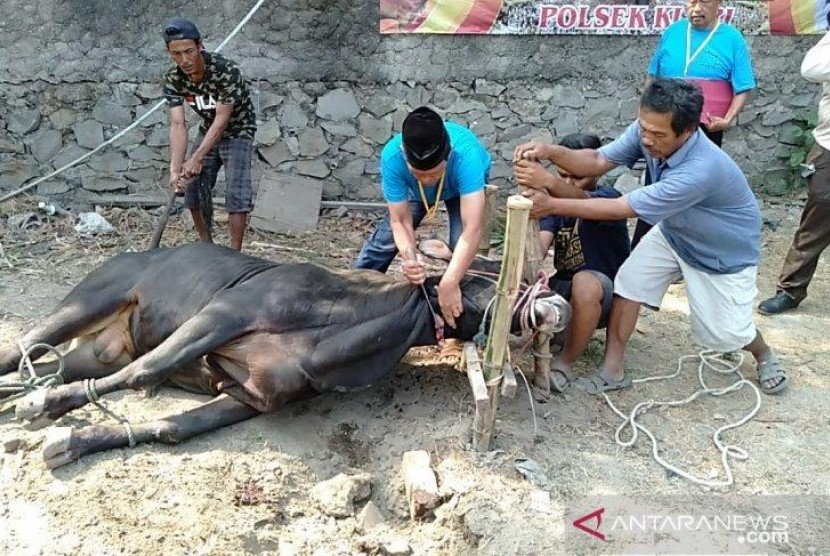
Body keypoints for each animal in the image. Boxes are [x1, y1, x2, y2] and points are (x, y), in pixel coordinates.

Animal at [0, 243, 572, 470]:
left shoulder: (251, 396)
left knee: (48, 365)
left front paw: (71, 441)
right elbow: (148, 371)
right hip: (88, 302)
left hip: (97, 354)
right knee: (19, 347)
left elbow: (169, 427)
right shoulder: (222, 315)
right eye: (489, 271)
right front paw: (45, 410)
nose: (559, 302)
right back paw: (28, 395)